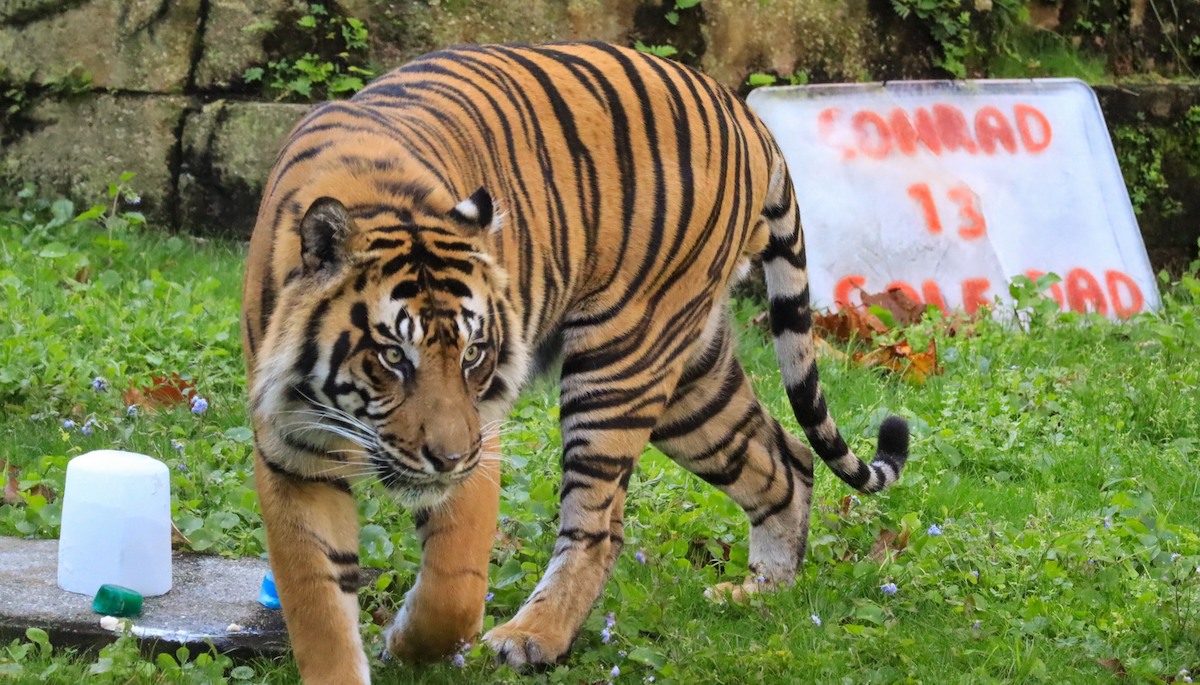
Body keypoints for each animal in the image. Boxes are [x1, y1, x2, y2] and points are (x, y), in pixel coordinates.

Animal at [241, 41, 909, 684]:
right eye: (391, 357)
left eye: (473, 354)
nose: (449, 460)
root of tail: (744, 113)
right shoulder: (291, 449)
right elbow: (317, 599)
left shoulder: (480, 432)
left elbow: (452, 591)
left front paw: (409, 644)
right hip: (692, 377)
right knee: (786, 461)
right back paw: (758, 594)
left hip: (623, 360)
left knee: (601, 526)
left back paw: (531, 637)